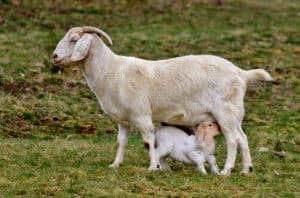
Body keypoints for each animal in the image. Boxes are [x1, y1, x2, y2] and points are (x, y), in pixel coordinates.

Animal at [51, 25, 272, 175]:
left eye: (73, 40)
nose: (54, 56)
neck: (112, 71)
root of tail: (241, 73)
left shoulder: (141, 115)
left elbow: (148, 141)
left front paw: (152, 167)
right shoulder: (123, 120)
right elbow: (120, 142)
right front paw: (115, 164)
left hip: (225, 112)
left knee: (233, 139)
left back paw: (226, 171)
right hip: (234, 114)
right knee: (243, 138)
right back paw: (246, 169)